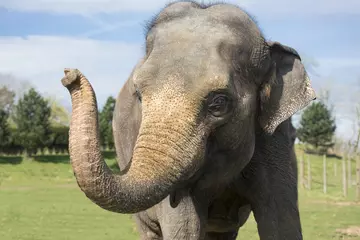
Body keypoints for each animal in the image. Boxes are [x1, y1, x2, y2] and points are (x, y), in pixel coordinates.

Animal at [61, 0, 316, 239]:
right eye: (139, 96)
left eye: (219, 102)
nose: (68, 75)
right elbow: (184, 225)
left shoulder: (275, 137)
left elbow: (281, 220)